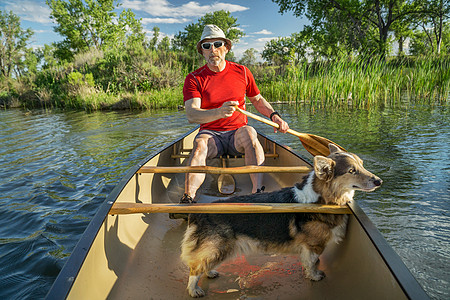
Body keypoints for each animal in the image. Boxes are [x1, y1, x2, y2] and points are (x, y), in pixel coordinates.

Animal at [179, 144, 380, 298]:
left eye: (362, 165)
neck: (322, 198)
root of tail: (198, 212)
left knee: (203, 263)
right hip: (217, 247)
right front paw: (315, 276)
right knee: (194, 269)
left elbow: (312, 261)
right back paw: (194, 290)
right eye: (351, 171)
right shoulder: (313, 245)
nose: (379, 181)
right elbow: (311, 262)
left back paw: (210, 272)